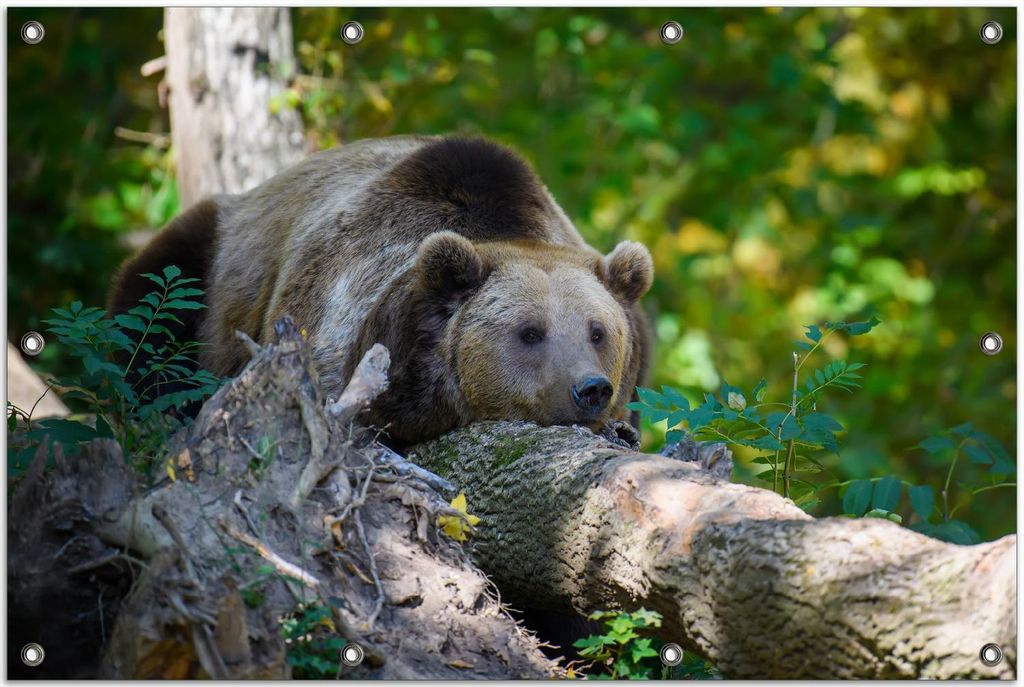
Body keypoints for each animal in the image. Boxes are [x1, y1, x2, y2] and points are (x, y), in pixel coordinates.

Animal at [109, 135, 654, 446]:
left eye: (598, 331)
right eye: (530, 332)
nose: (590, 388)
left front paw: (622, 430)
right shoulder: (338, 317)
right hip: (209, 261)